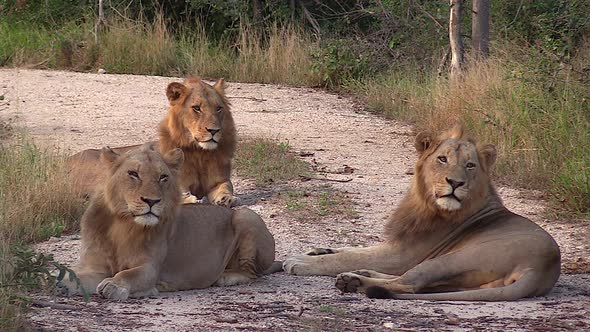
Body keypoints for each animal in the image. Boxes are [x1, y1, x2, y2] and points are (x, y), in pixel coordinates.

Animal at [61, 144, 278, 300]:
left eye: (163, 177)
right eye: (133, 174)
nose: (151, 201)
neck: (122, 224)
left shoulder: (150, 268)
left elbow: (128, 275)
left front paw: (114, 285)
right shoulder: (95, 267)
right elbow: (77, 276)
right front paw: (60, 282)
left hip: (246, 215)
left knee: (252, 273)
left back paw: (225, 277)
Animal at [70, 77, 242, 208]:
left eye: (218, 108)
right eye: (196, 108)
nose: (214, 130)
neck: (200, 153)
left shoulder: (219, 179)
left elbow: (226, 186)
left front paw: (226, 198)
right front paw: (189, 198)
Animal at [284, 126, 560, 302]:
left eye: (470, 165)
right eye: (442, 159)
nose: (455, 183)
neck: (425, 202)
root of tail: (544, 267)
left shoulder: (403, 254)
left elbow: (345, 258)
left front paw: (301, 261)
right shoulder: (396, 245)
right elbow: (354, 249)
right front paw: (318, 250)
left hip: (448, 260)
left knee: (408, 283)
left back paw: (354, 281)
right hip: (459, 279)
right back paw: (362, 275)